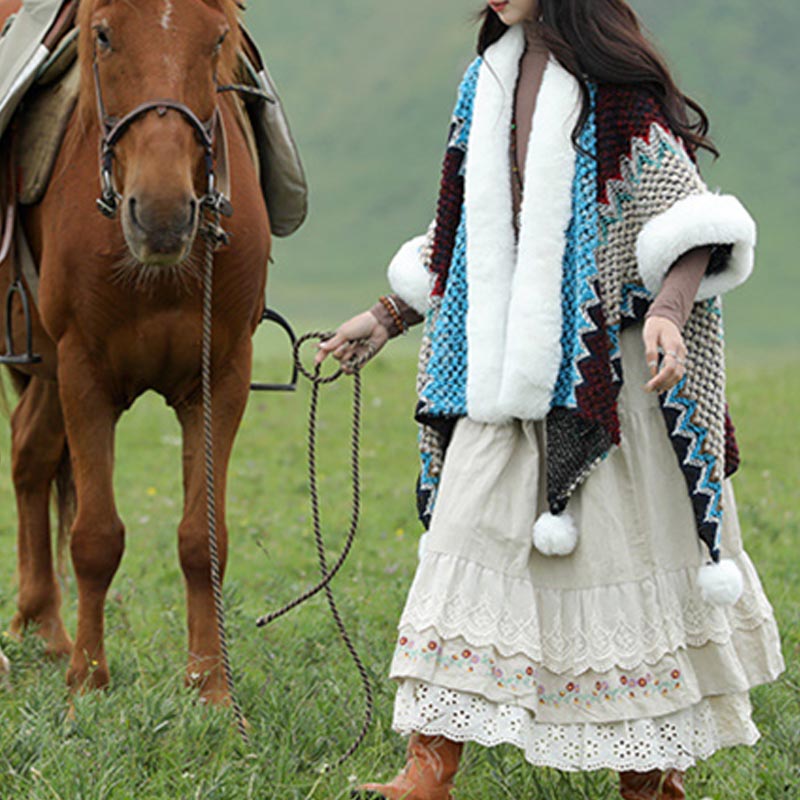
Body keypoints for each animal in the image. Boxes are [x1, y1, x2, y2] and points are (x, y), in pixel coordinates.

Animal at [0, 0, 268, 704]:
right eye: (102, 35)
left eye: (218, 41)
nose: (164, 214)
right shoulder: (84, 370)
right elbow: (95, 536)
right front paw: (87, 684)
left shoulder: (220, 375)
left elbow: (203, 539)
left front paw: (210, 687)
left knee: (30, 453)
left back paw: (42, 627)